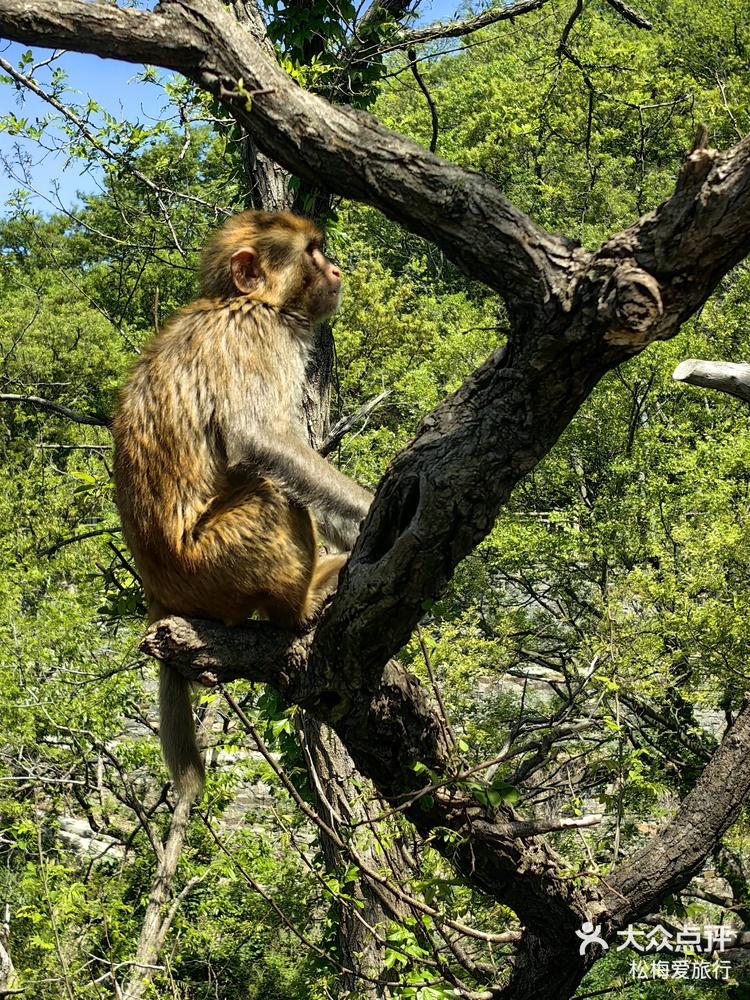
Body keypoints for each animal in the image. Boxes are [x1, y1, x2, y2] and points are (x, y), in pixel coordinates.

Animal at [112, 209, 376, 796]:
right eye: (312, 252)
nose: (336, 269)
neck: (242, 302)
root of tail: (160, 595)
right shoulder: (256, 335)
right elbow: (262, 441)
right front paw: (372, 511)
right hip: (214, 568)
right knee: (271, 491)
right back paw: (300, 606)